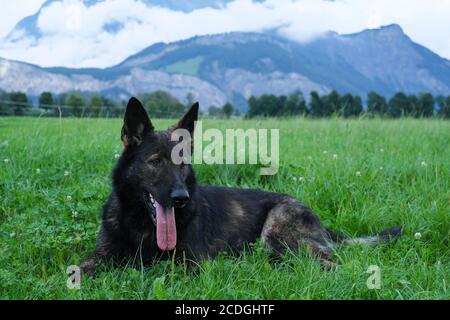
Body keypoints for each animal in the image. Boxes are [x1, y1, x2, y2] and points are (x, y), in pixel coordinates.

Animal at [81, 97, 400, 276]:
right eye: (156, 161)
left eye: (183, 164)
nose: (181, 198)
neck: (141, 224)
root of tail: (319, 222)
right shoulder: (102, 255)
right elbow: (81, 269)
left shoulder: (189, 264)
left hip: (278, 234)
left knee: (328, 263)